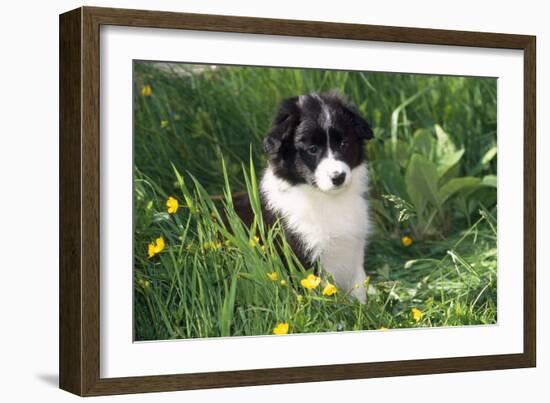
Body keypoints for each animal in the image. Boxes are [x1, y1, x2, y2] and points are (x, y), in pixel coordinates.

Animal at [235, 91, 374, 304]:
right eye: (312, 149)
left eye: (344, 144)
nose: (338, 177)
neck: (327, 199)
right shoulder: (303, 257)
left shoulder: (353, 252)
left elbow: (359, 291)